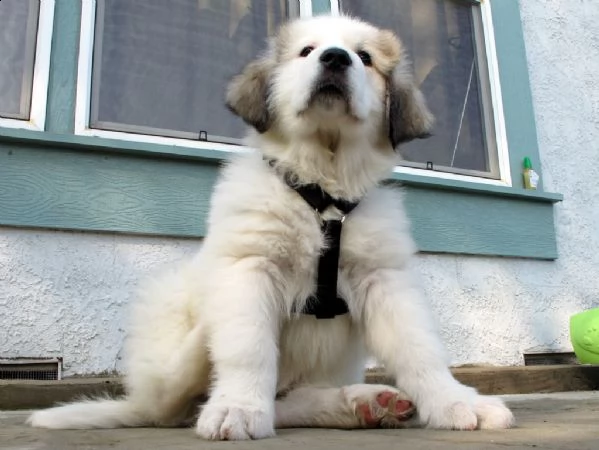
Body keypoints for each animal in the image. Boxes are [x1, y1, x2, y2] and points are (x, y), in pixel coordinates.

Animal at [29, 14, 516, 440]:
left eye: (365, 57)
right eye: (307, 51)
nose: (336, 58)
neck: (323, 190)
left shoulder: (383, 277)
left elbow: (420, 349)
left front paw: (457, 403)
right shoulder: (251, 266)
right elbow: (249, 349)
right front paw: (238, 409)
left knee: (288, 401)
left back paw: (361, 403)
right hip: (166, 304)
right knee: (172, 402)